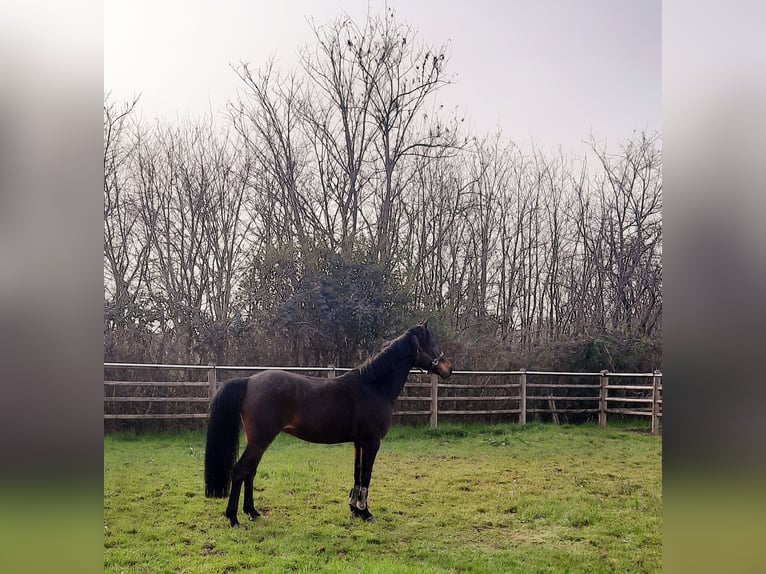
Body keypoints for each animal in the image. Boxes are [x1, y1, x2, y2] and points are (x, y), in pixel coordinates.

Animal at [204, 320, 452, 526]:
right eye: (433, 343)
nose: (449, 368)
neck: (374, 386)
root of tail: (248, 380)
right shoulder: (372, 442)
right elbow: (366, 476)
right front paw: (366, 513)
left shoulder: (358, 443)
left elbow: (357, 474)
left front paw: (355, 509)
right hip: (260, 439)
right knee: (240, 471)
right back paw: (233, 518)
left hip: (258, 440)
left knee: (250, 472)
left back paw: (253, 512)